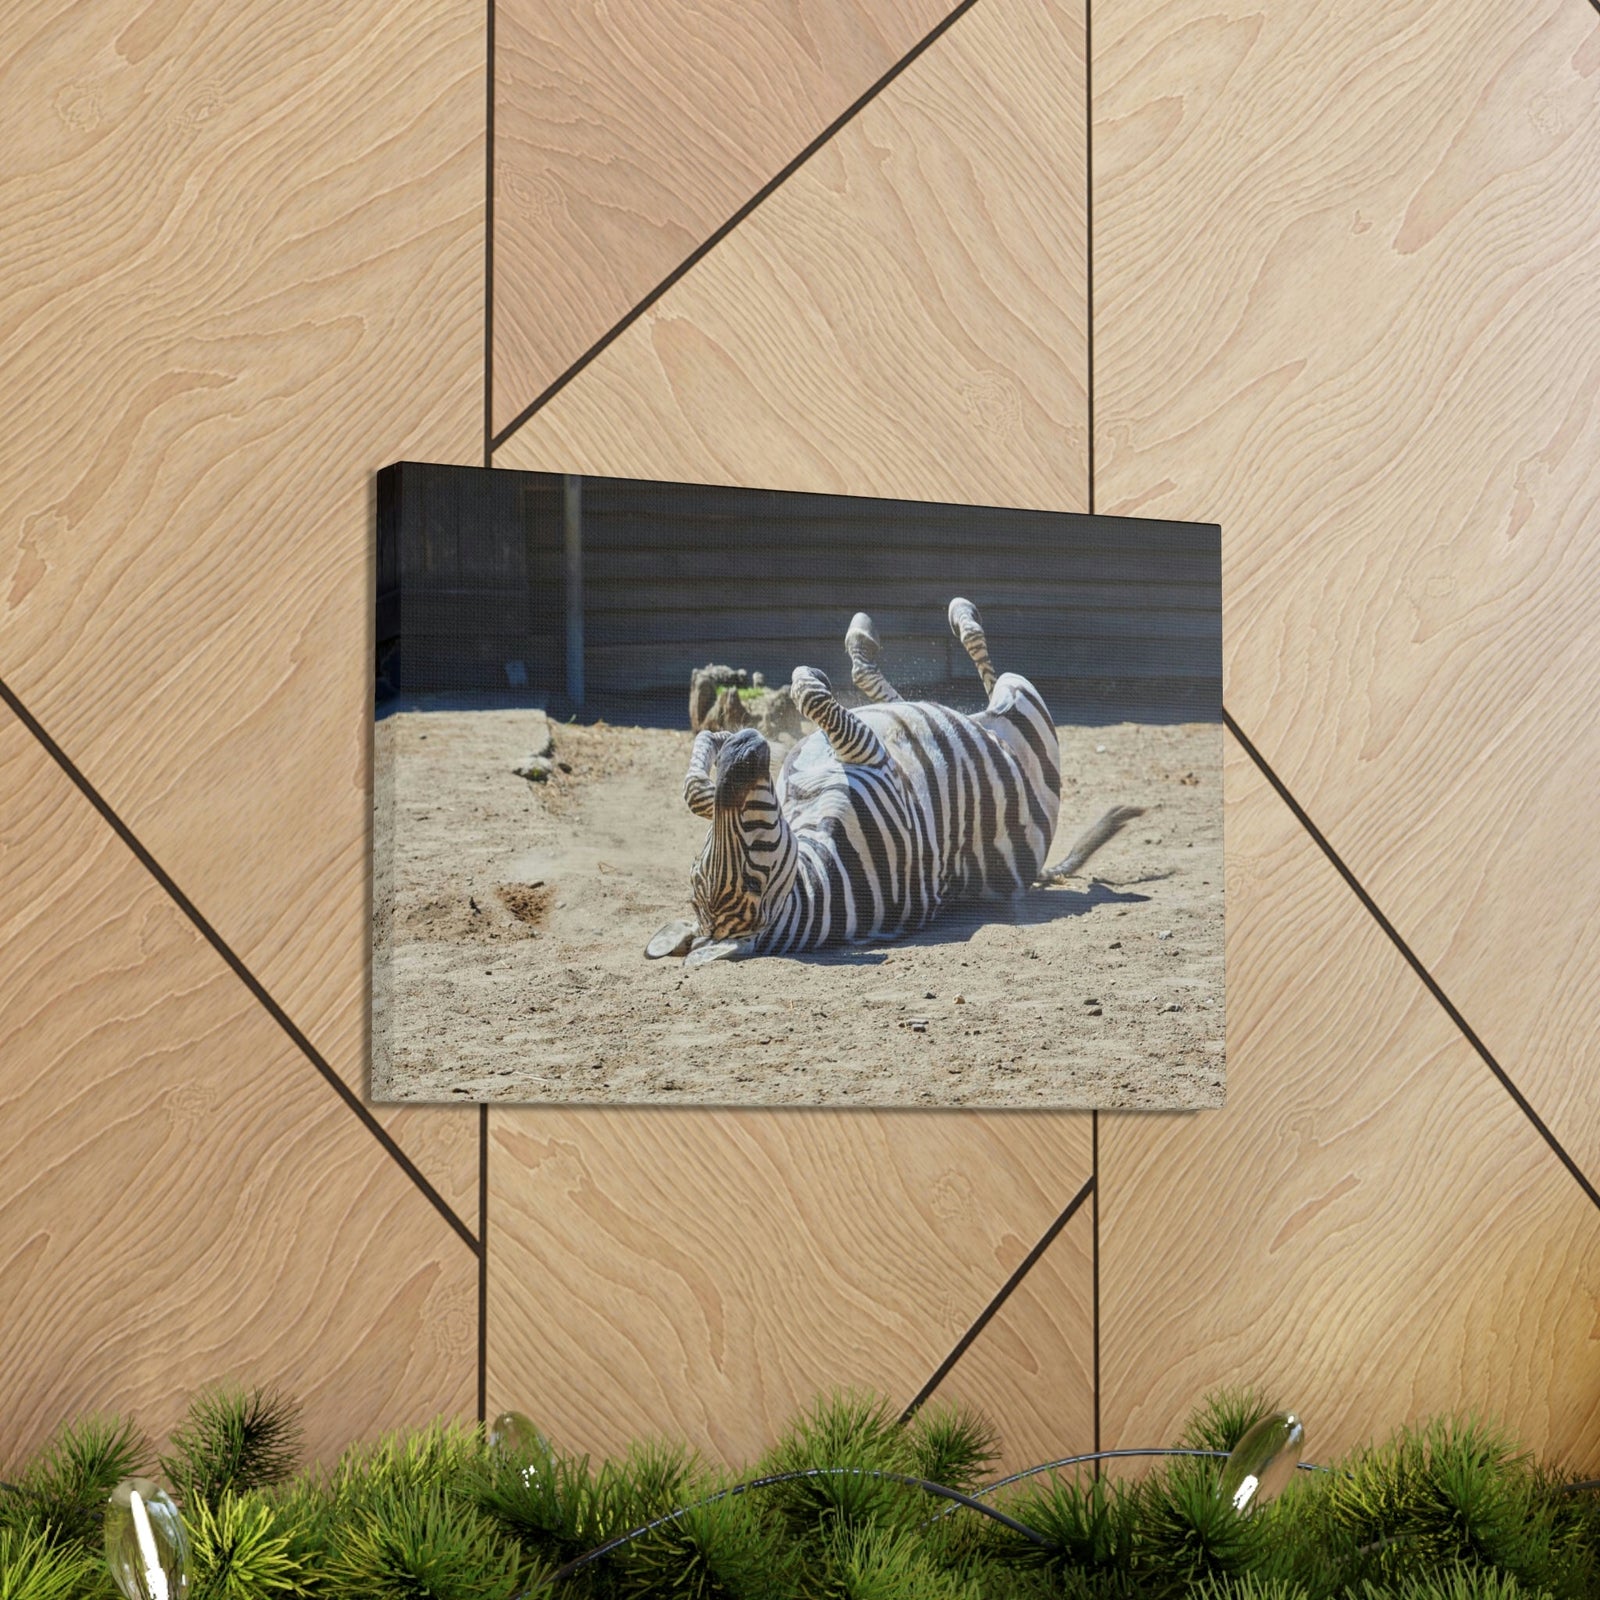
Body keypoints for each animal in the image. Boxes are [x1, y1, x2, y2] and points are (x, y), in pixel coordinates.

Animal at [646, 599, 1142, 966]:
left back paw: (868, 634)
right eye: (751, 875)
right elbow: (807, 693)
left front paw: (713, 742)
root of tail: (1034, 868)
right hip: (1025, 709)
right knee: (987, 677)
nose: (745, 745)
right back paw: (959, 615)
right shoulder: (872, 758)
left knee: (895, 691)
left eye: (703, 860)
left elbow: (697, 792)